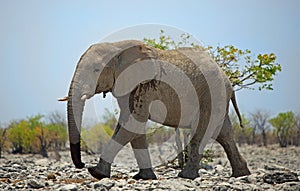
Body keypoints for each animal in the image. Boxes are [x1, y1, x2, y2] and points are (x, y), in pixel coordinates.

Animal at [59, 39, 251, 180]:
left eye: (96, 69)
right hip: (217, 98)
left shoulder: (145, 87)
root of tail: (228, 81)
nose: (82, 164)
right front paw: (144, 177)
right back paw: (242, 174)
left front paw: (96, 173)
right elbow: (131, 127)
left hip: (212, 94)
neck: (118, 46)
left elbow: (134, 124)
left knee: (203, 132)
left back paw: (186, 176)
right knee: (224, 134)